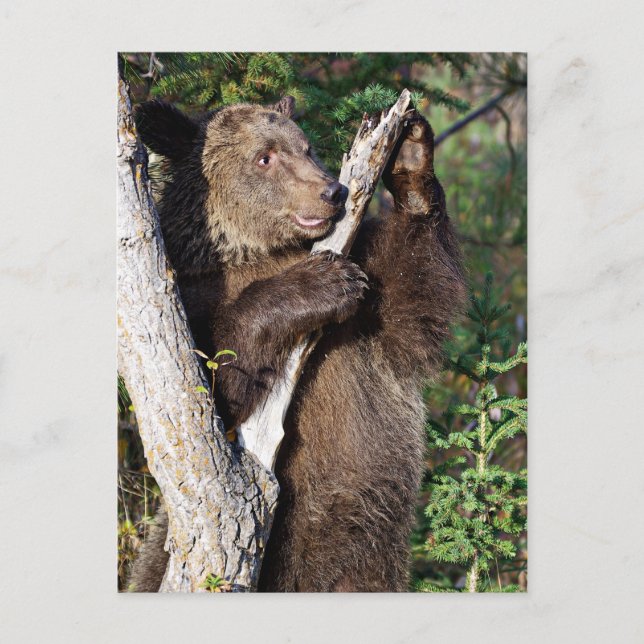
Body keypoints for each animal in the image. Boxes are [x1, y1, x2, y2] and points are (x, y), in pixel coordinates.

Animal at [128, 95, 466, 592]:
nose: (333, 192)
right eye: (264, 157)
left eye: (306, 147)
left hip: (367, 553)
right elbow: (218, 389)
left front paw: (411, 156)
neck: (254, 250)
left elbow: (412, 303)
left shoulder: (371, 305)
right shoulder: (190, 298)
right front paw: (320, 283)